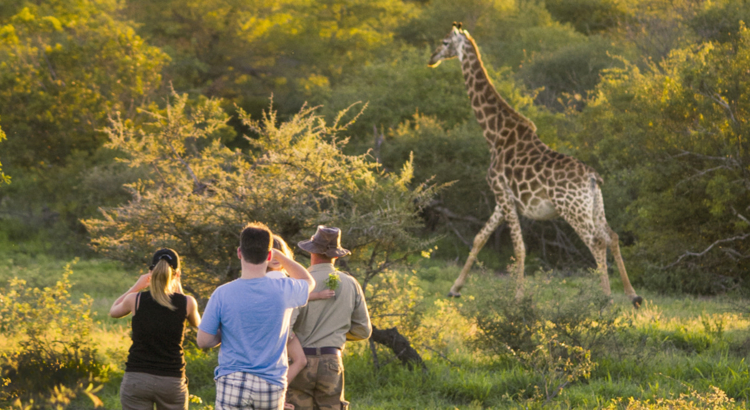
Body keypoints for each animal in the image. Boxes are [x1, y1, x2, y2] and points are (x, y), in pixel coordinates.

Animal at [428, 23, 642, 308]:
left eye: (444, 42)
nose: (431, 58)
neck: (494, 134)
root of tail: (592, 178)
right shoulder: (502, 200)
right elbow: (480, 237)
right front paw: (455, 288)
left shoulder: (502, 194)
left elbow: (519, 246)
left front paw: (518, 297)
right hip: (595, 206)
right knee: (613, 236)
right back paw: (633, 295)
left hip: (571, 209)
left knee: (597, 242)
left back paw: (605, 299)